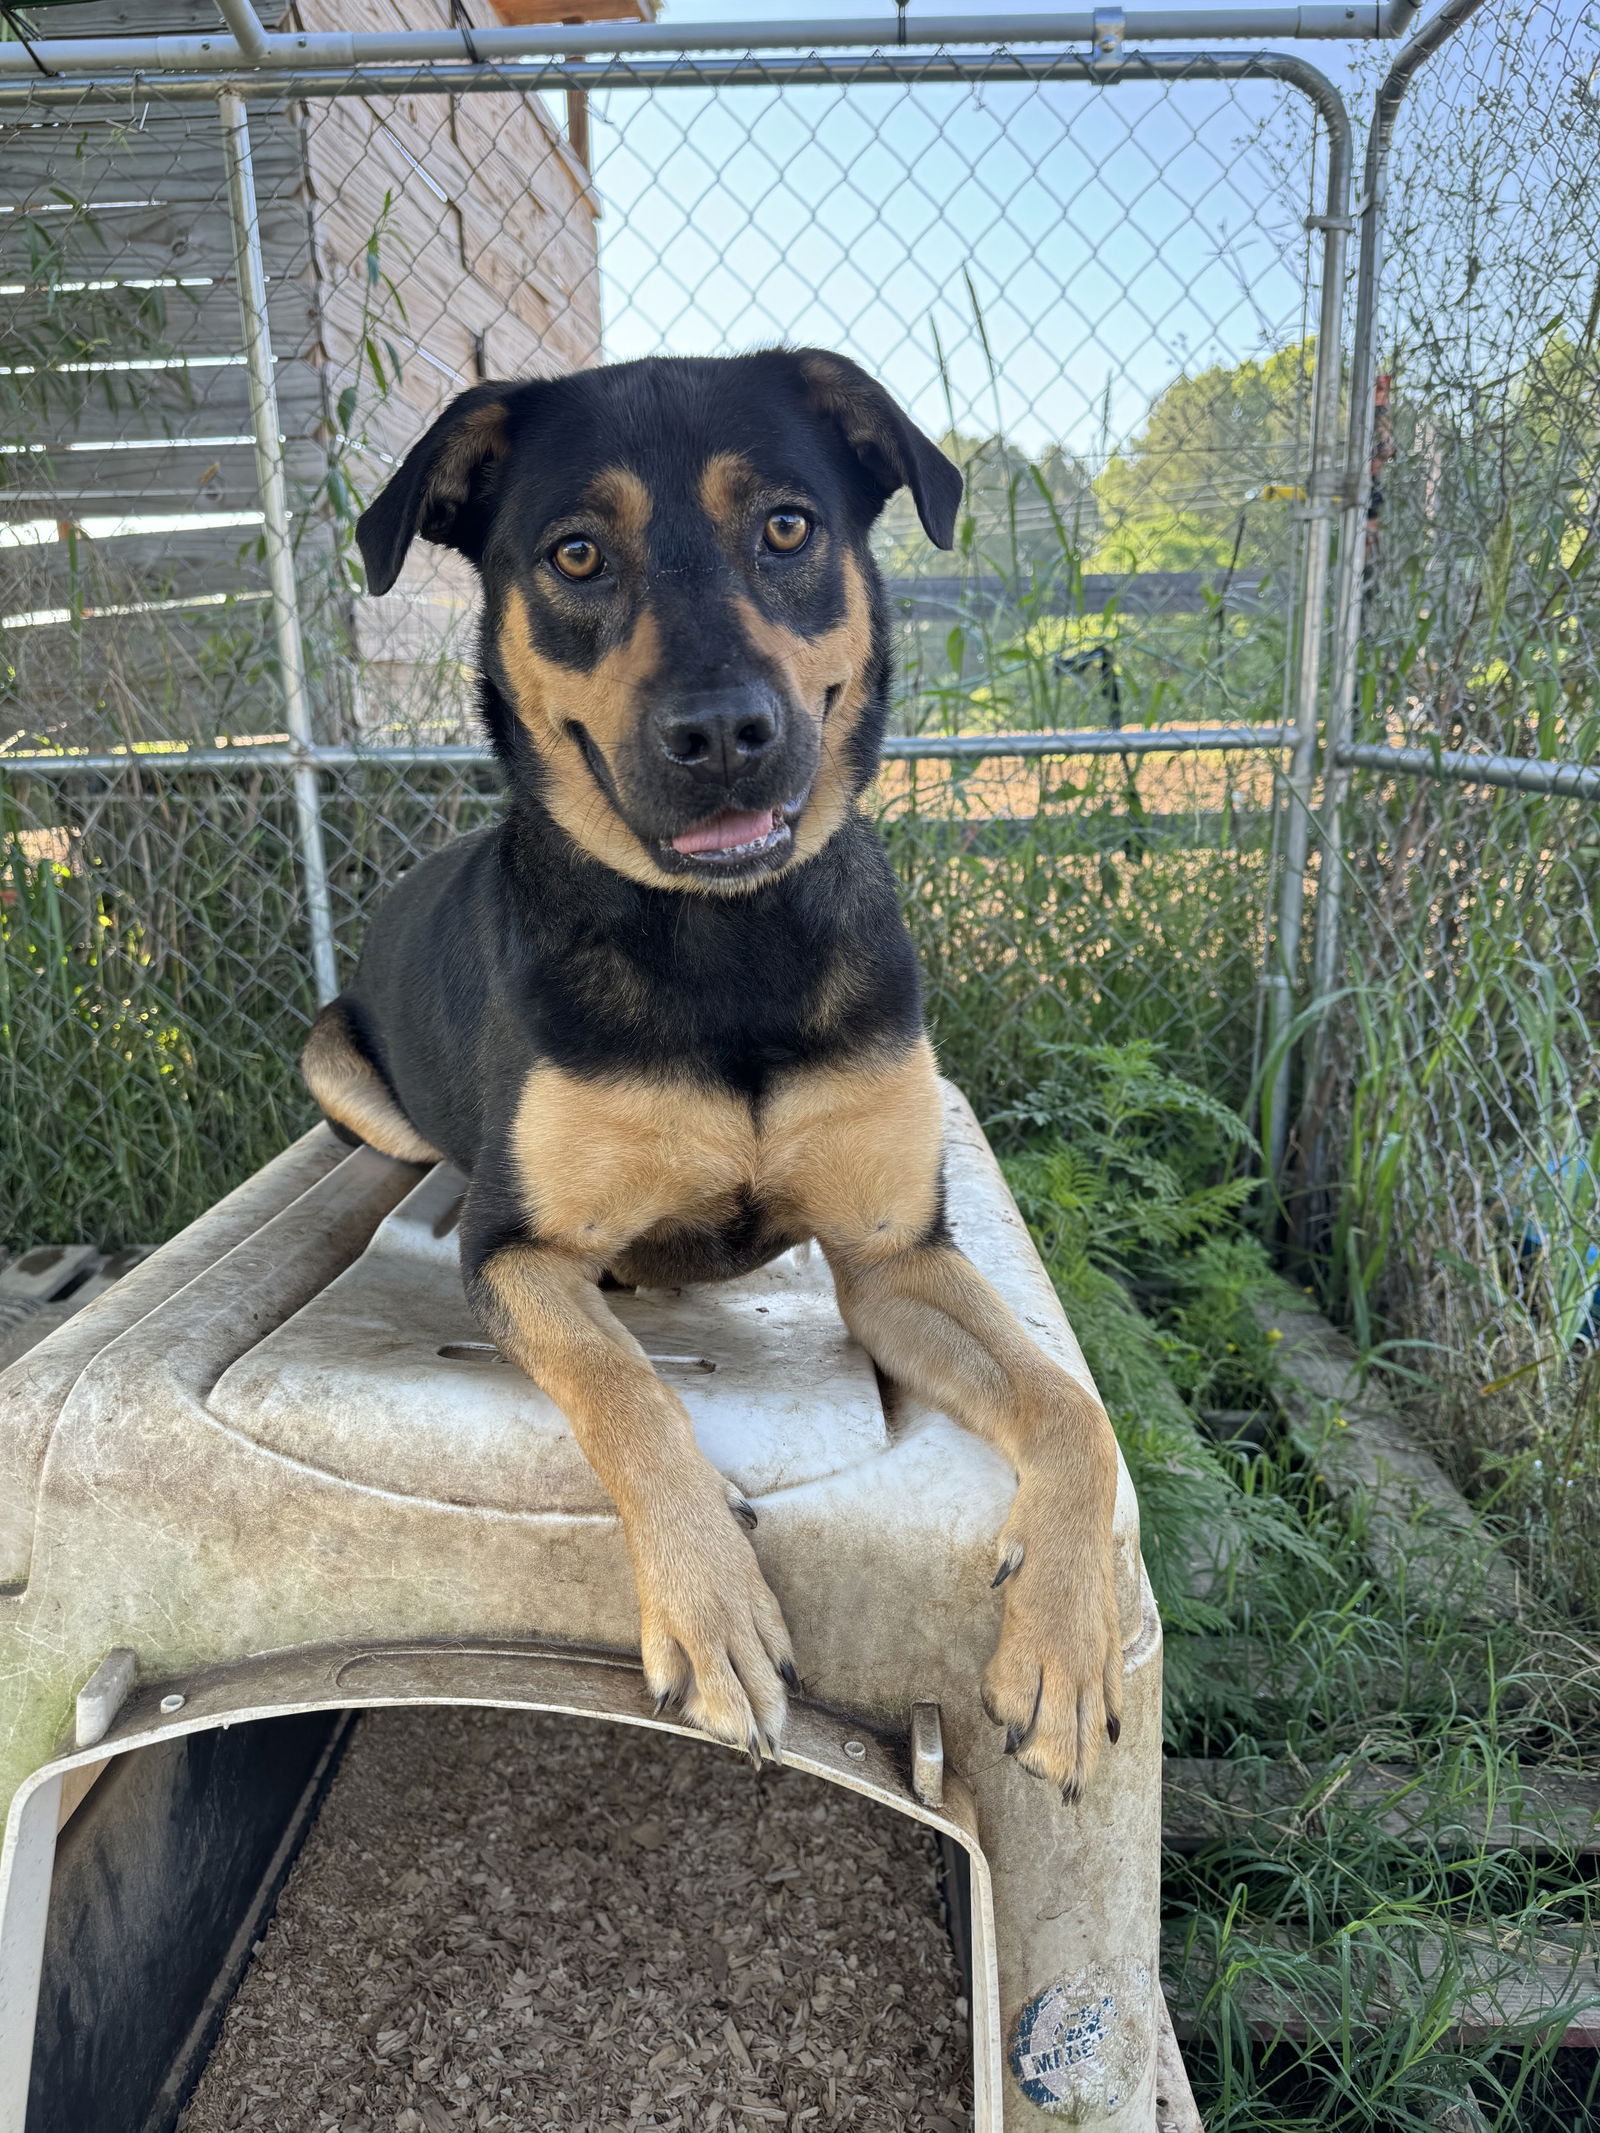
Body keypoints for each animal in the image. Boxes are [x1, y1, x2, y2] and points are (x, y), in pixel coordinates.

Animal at [302, 349, 1126, 1800]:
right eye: (576, 553)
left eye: (788, 527)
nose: (724, 732)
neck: (728, 940)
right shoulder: (516, 1251)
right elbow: (626, 1392)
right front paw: (712, 1607)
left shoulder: (896, 1258)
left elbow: (1069, 1408)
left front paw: (1068, 1649)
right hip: (341, 1069)